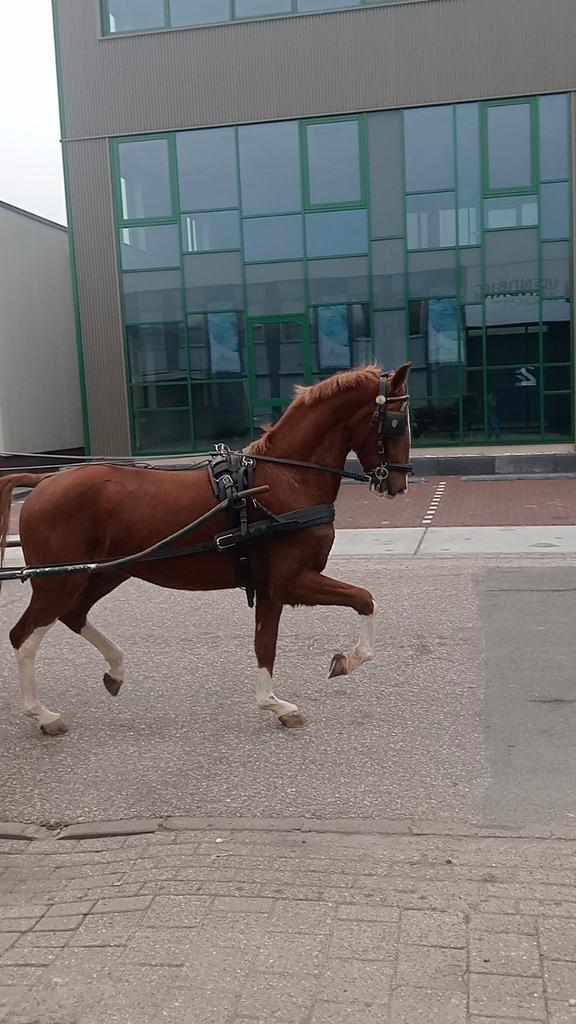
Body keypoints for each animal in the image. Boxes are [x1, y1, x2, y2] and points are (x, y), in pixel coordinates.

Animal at [0, 363, 411, 737]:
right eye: (395, 422)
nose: (400, 483)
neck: (285, 479)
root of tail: (41, 482)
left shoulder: (271, 589)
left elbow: (265, 645)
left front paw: (274, 704)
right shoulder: (291, 582)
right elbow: (364, 599)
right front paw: (345, 662)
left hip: (104, 572)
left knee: (74, 615)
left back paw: (115, 670)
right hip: (59, 581)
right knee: (24, 637)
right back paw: (42, 713)